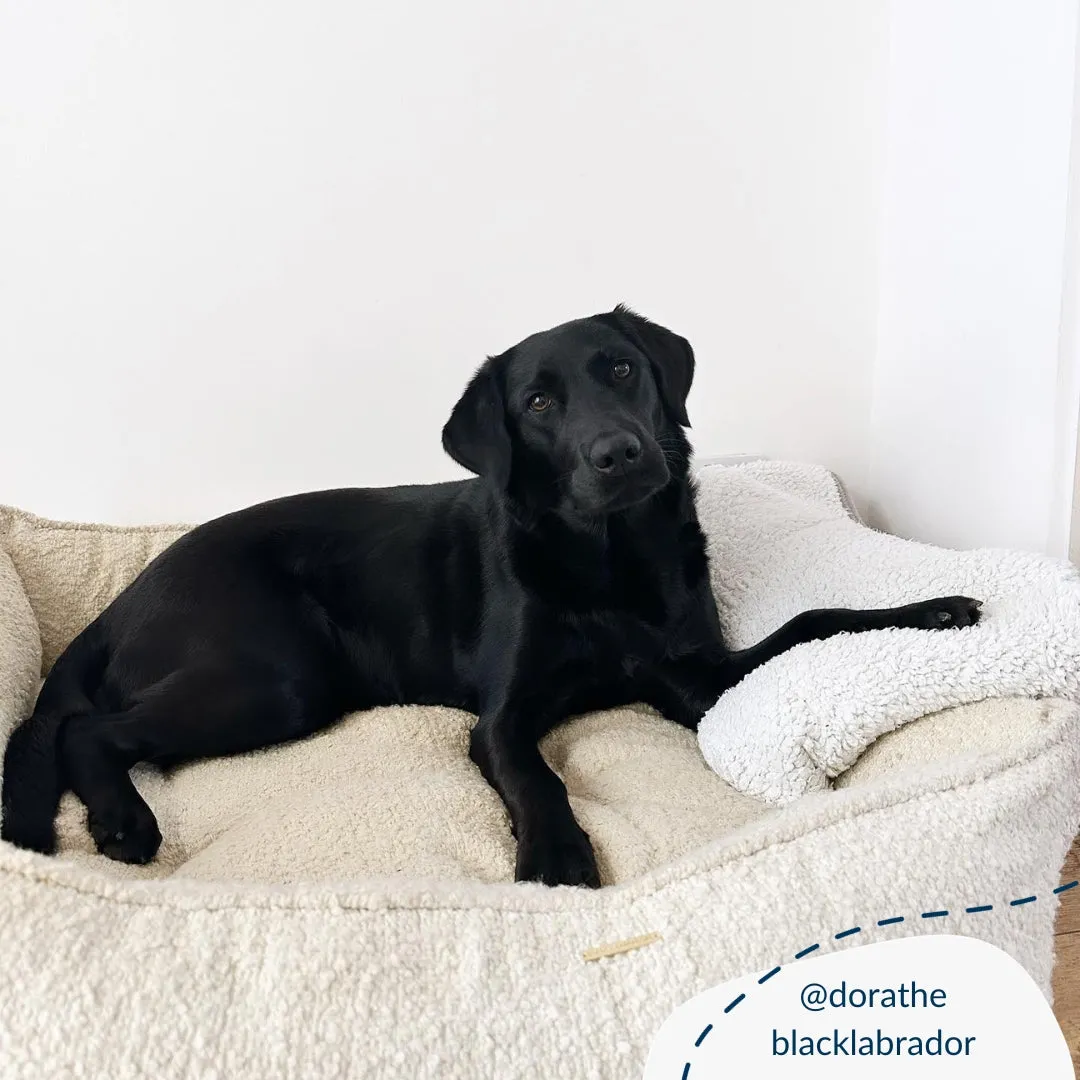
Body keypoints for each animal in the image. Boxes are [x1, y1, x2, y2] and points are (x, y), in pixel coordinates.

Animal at [0, 306, 980, 885]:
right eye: (538, 404)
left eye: (621, 370)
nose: (619, 454)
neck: (610, 564)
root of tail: (124, 598)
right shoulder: (502, 719)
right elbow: (537, 776)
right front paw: (557, 854)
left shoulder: (694, 676)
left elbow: (816, 618)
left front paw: (933, 610)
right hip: (278, 679)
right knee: (86, 730)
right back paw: (124, 822)